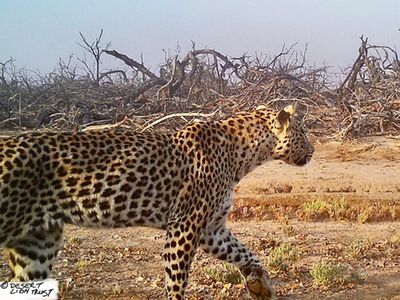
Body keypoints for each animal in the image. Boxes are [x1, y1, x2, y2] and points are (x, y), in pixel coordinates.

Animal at [0, 104, 312, 298]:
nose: (312, 150)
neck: (244, 156)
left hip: (37, 243)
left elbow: (246, 253)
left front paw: (260, 285)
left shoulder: (212, 230)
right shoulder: (184, 226)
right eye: (304, 133)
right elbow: (176, 281)